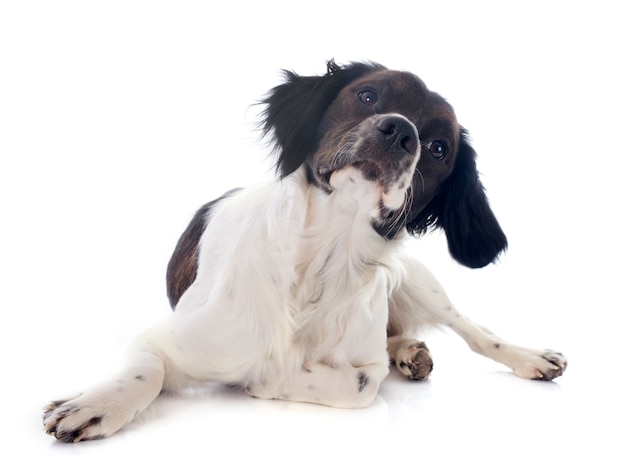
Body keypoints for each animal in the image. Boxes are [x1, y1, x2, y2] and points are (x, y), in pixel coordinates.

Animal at [41, 59, 564, 440]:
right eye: (368, 95)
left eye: (438, 148)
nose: (400, 131)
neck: (319, 264)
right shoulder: (166, 338)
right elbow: (143, 373)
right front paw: (95, 405)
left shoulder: (363, 364)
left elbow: (359, 381)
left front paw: (265, 379)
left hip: (421, 282)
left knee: (476, 331)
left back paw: (526, 357)